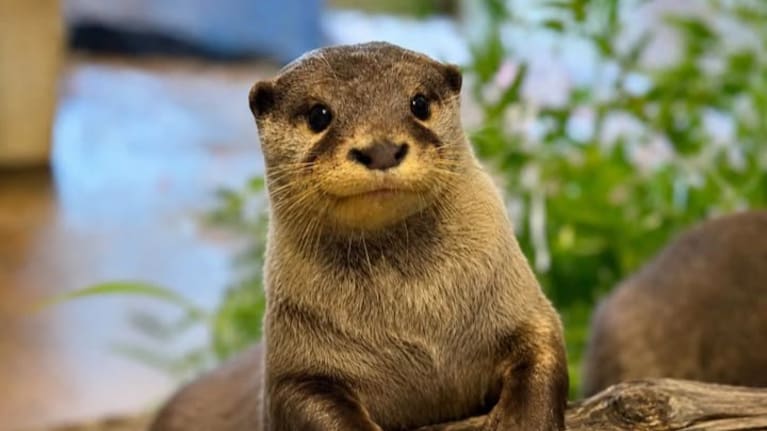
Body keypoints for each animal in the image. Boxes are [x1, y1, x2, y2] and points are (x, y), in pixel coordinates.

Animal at [152, 42, 568, 431]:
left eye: (419, 103)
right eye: (319, 115)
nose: (381, 149)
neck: (419, 326)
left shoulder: (522, 307)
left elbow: (544, 350)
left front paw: (524, 421)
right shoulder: (294, 374)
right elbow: (309, 404)